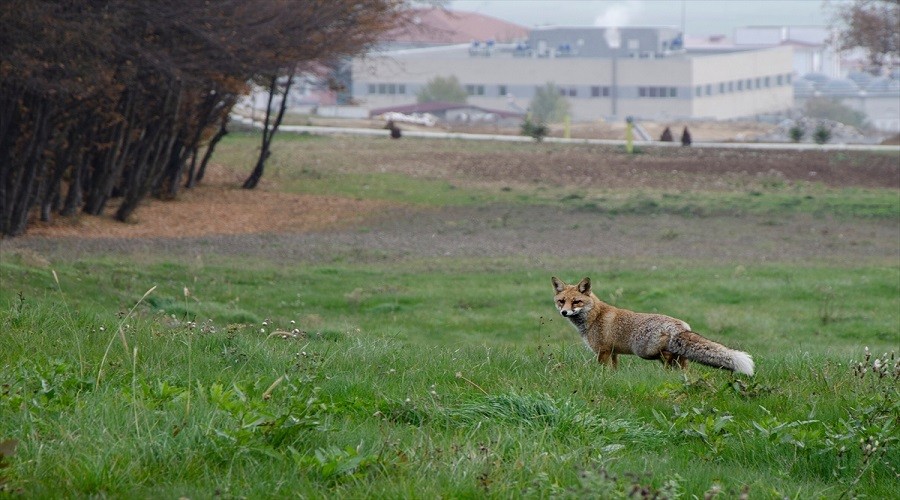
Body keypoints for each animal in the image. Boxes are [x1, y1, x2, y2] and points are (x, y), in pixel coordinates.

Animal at [556, 278, 752, 376]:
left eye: (576, 302)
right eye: (561, 301)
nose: (564, 312)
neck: (594, 316)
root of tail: (680, 326)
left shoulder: (602, 351)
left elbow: (602, 369)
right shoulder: (613, 352)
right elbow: (614, 369)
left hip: (647, 352)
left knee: (668, 359)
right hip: (677, 356)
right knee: (682, 365)